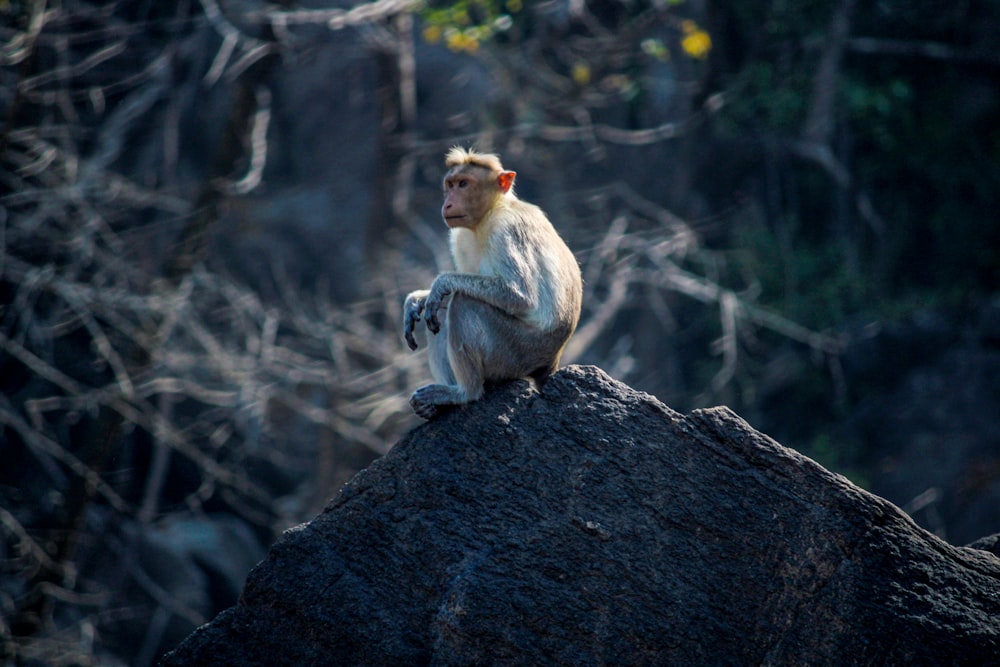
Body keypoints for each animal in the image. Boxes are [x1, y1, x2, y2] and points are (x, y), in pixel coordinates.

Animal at [402, 148, 584, 420]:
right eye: (450, 185)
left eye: (464, 184)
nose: (448, 203)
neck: (490, 212)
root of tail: (552, 361)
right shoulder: (460, 236)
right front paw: (416, 300)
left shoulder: (506, 229)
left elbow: (520, 295)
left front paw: (440, 284)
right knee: (443, 310)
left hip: (517, 353)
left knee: (463, 302)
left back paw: (465, 392)